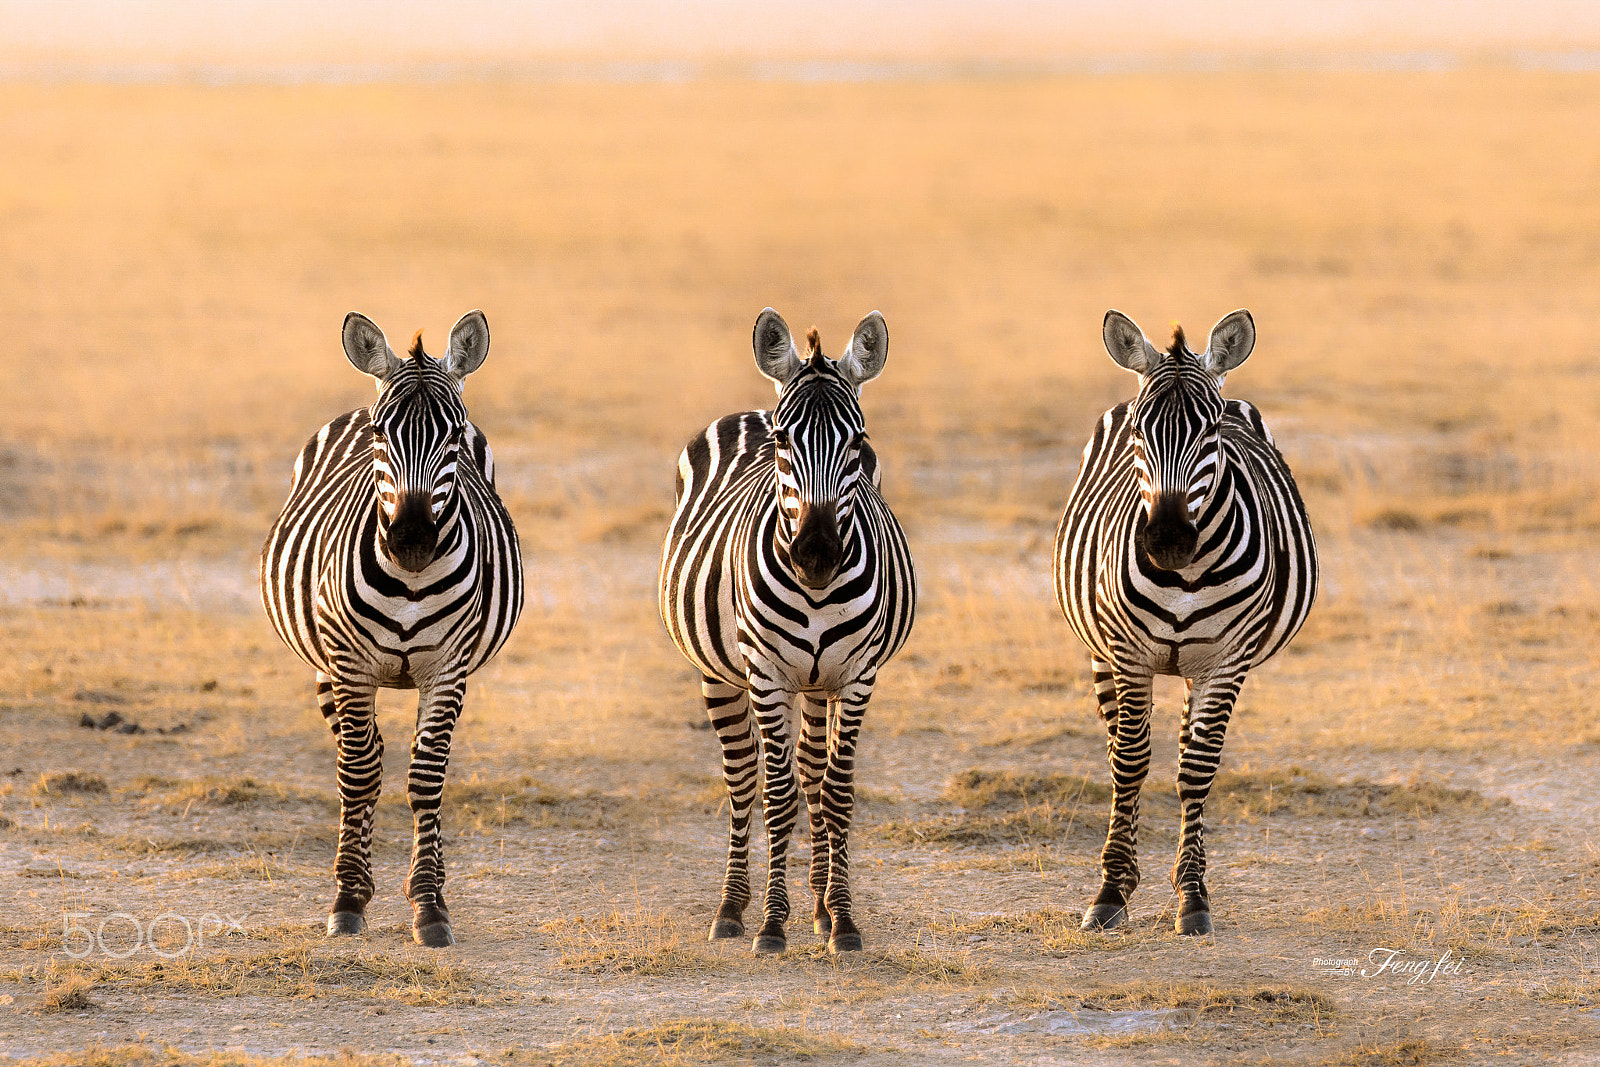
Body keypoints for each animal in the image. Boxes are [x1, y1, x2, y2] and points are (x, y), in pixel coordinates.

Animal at [261, 310, 523, 948]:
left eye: (455, 435)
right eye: (382, 436)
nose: (410, 542)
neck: (408, 583)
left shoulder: (447, 670)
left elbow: (427, 777)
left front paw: (429, 903)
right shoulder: (349, 663)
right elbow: (358, 775)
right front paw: (348, 898)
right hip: (324, 664)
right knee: (365, 757)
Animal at [659, 308, 916, 955]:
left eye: (859, 442)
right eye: (781, 442)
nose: (816, 556)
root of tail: (754, 406)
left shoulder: (857, 677)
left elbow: (836, 791)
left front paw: (841, 919)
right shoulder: (768, 675)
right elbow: (777, 795)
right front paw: (773, 923)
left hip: (819, 682)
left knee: (813, 773)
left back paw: (820, 903)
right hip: (721, 673)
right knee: (743, 778)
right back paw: (731, 907)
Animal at [1054, 309, 1317, 936]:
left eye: (1213, 431)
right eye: (1137, 433)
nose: (1168, 540)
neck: (1186, 575)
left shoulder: (1227, 661)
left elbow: (1196, 769)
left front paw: (1193, 896)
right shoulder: (1127, 655)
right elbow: (1129, 764)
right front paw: (1110, 891)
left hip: (1198, 664)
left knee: (1181, 752)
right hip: (1100, 651)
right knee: (1120, 746)